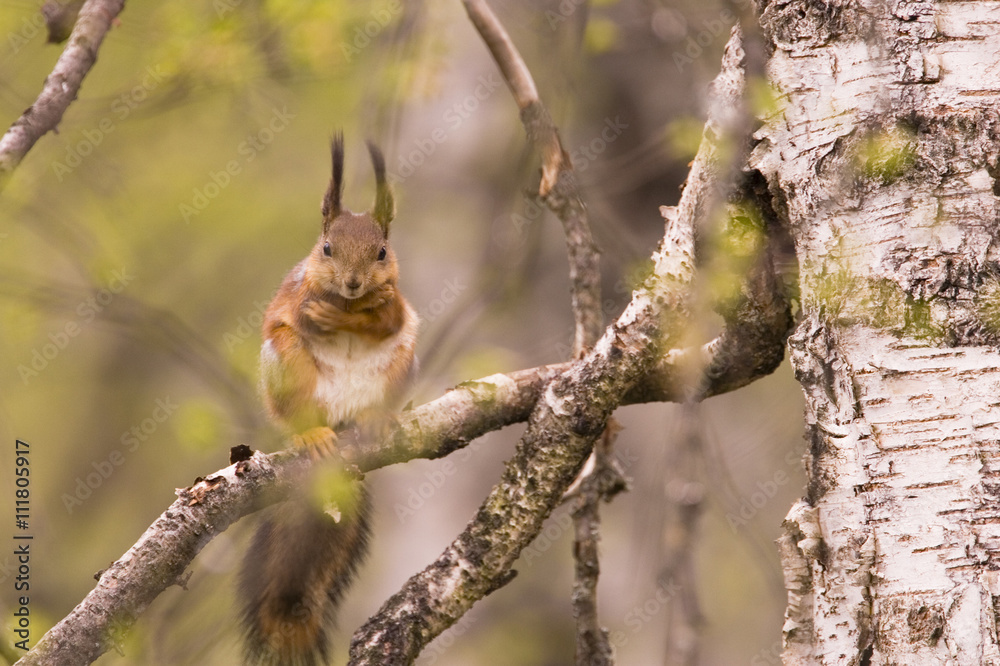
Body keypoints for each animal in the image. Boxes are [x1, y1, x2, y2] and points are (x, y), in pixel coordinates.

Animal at [239, 135, 418, 666]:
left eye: (382, 252)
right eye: (326, 249)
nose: (353, 283)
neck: (349, 302)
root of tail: (342, 421)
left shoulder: (399, 305)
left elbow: (387, 317)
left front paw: (361, 315)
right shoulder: (297, 297)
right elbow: (306, 313)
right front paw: (330, 313)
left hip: (401, 365)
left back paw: (376, 419)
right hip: (287, 366)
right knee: (301, 415)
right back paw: (312, 434)